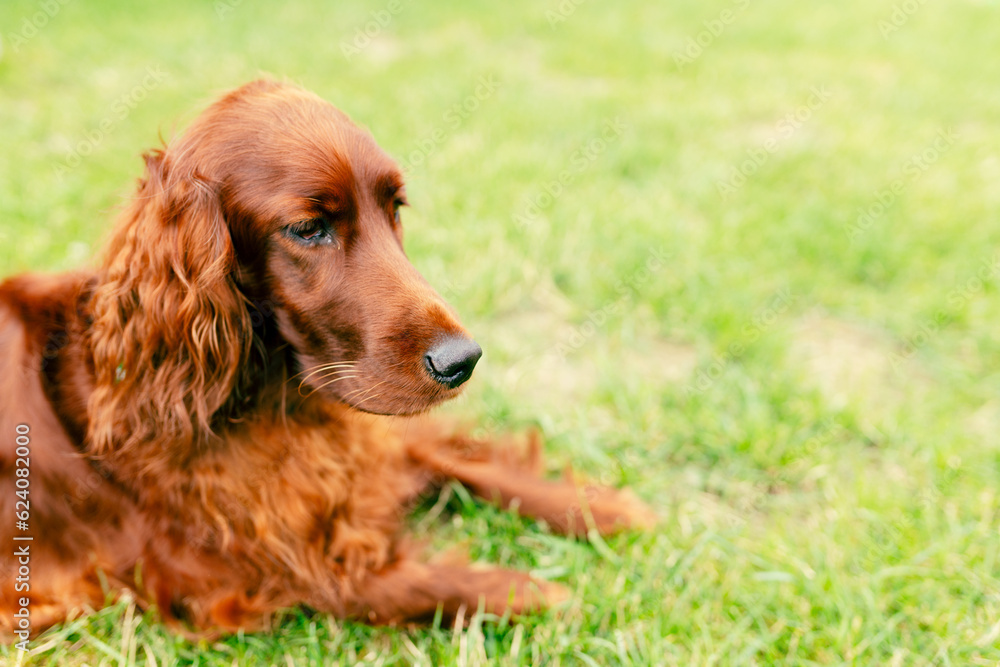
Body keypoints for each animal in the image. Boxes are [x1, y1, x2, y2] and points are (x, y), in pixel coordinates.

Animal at [0, 79, 656, 636]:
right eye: (308, 228)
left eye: (396, 207)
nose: (462, 361)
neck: (270, 402)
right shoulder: (259, 571)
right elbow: (404, 588)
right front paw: (536, 592)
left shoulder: (372, 446)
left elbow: (468, 463)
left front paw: (601, 507)